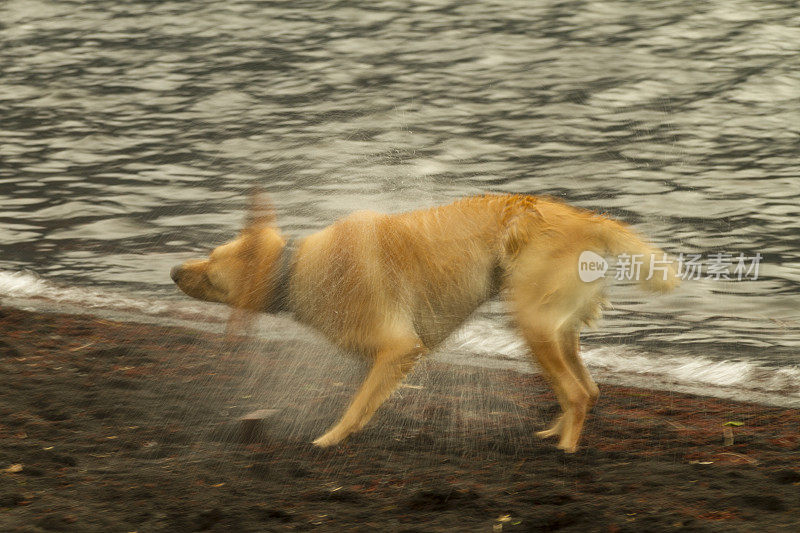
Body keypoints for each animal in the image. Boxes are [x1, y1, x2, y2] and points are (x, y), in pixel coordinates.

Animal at [172, 193, 680, 450]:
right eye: (210, 255)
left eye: (211, 270)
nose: (174, 271)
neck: (294, 270)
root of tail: (586, 218)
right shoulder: (384, 357)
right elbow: (365, 399)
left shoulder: (399, 348)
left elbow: (355, 405)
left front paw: (330, 439)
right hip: (556, 330)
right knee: (585, 391)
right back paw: (555, 431)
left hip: (534, 324)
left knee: (576, 394)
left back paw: (564, 451)